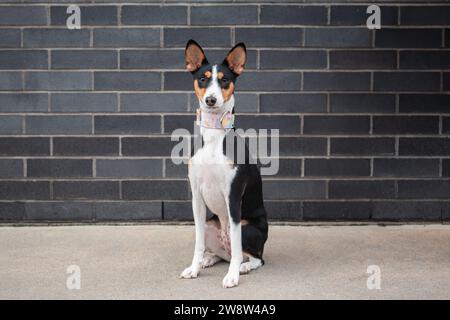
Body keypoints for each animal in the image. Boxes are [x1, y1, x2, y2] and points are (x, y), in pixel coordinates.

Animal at [179, 39, 268, 288]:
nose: (211, 100)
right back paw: (209, 260)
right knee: (223, 253)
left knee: (253, 256)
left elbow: (236, 246)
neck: (213, 136)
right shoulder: (197, 198)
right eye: (203, 78)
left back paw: (243, 266)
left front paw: (232, 276)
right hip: (212, 225)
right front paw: (194, 268)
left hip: (249, 228)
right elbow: (198, 243)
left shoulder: (233, 196)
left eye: (224, 80)